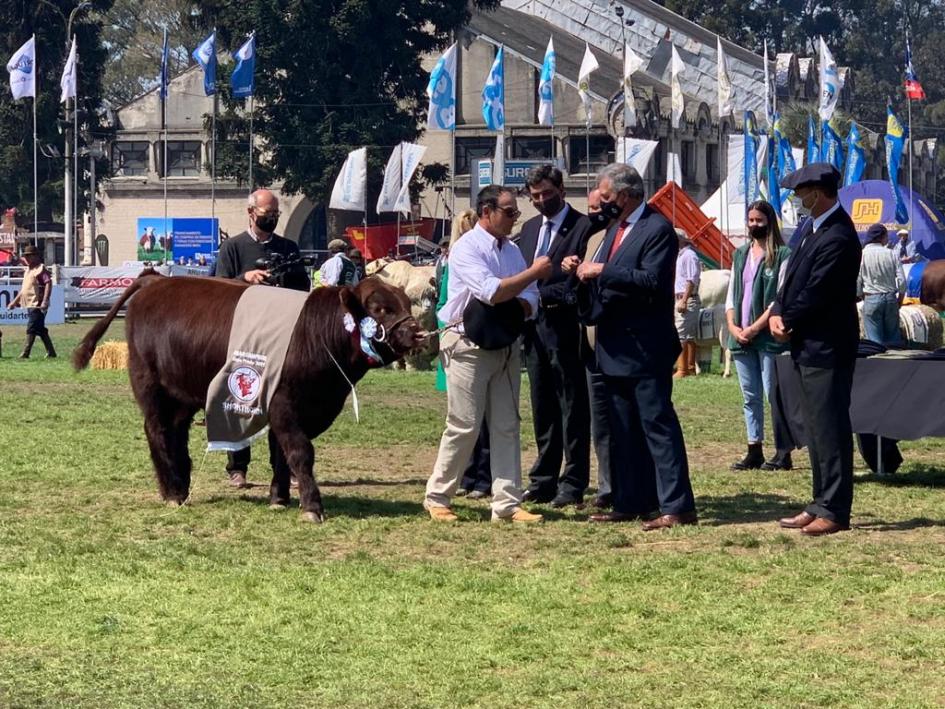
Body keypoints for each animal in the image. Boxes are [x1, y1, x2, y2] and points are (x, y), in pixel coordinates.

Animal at [74, 272, 424, 520]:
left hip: (184, 394)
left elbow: (281, 454)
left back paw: (181, 486)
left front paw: (279, 498)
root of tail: (156, 279)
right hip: (151, 387)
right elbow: (300, 452)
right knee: (157, 431)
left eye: (407, 304)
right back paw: (172, 492)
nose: (418, 332)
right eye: (380, 309)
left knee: (176, 433)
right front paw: (311, 506)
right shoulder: (284, 405)